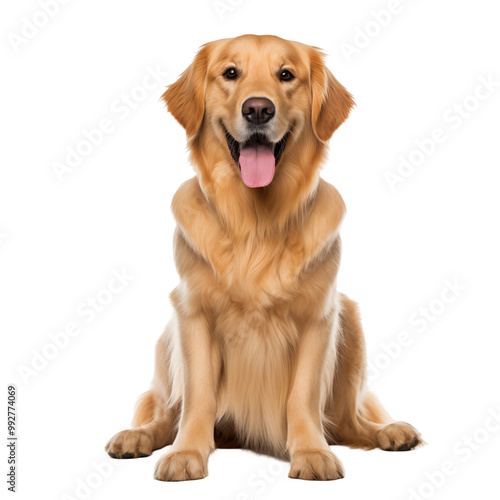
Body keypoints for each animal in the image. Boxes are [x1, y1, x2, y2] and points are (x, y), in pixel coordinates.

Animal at [105, 34, 422, 480]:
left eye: (286, 74)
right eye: (230, 72)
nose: (258, 109)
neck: (256, 223)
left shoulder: (319, 316)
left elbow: (303, 396)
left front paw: (311, 452)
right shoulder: (193, 312)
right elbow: (198, 397)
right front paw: (187, 453)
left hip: (350, 321)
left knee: (350, 421)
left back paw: (389, 432)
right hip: (168, 338)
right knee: (165, 412)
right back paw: (138, 437)